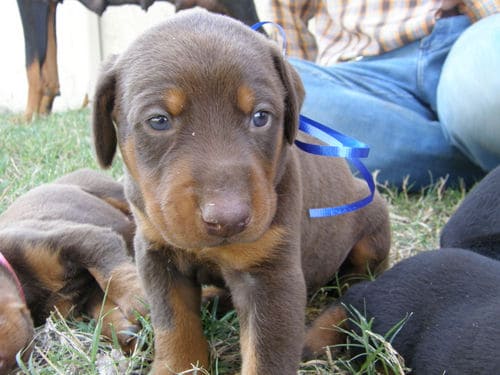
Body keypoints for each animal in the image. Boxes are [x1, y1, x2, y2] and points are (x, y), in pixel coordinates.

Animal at [0, 170, 147, 375]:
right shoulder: (77, 299)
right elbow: (101, 308)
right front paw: (125, 334)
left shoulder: (87, 240)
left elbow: (114, 275)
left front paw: (143, 305)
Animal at [92, 9, 392, 375]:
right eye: (159, 120)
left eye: (261, 116)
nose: (228, 220)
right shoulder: (156, 252)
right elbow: (174, 324)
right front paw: (178, 365)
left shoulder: (270, 273)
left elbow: (265, 355)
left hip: (372, 223)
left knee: (359, 281)